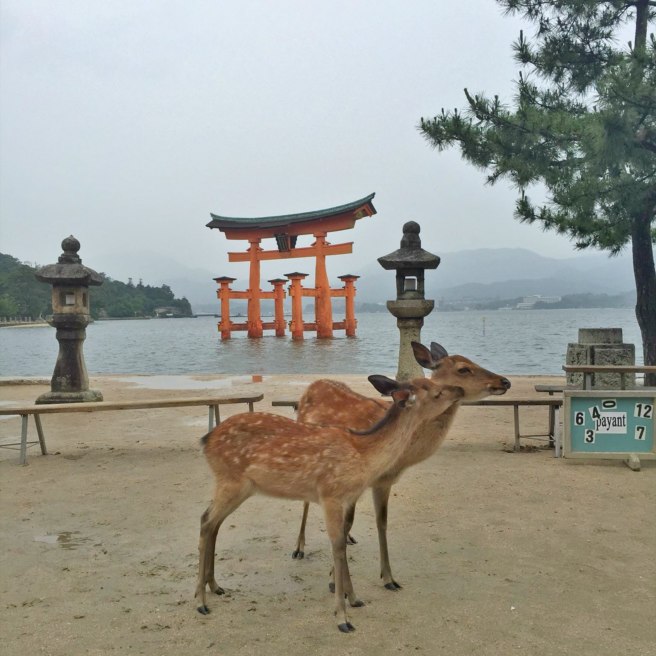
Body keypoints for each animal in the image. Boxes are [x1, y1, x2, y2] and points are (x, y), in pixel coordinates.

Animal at [196, 375, 465, 633]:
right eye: (437, 391)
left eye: (433, 383)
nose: (460, 390)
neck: (364, 454)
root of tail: (206, 441)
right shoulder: (330, 494)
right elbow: (337, 546)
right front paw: (342, 617)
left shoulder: (348, 498)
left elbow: (344, 538)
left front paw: (354, 598)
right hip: (230, 480)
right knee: (206, 520)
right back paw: (200, 601)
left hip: (239, 487)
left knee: (212, 522)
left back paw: (214, 586)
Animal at [292, 341, 511, 592]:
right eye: (464, 369)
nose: (505, 381)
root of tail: (311, 386)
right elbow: (348, 522)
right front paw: (335, 582)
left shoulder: (384, 481)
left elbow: (381, 522)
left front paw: (388, 578)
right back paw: (298, 548)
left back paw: (348, 539)